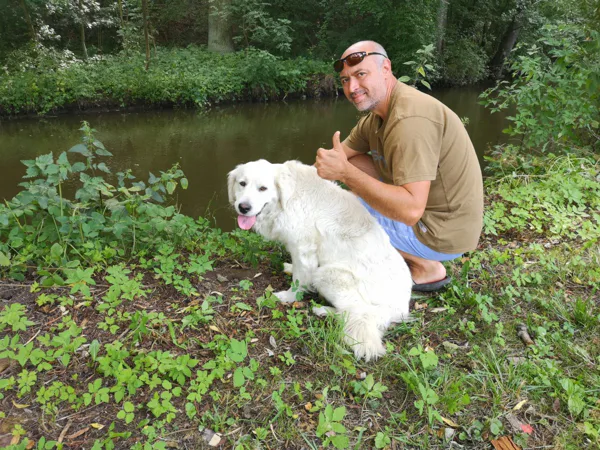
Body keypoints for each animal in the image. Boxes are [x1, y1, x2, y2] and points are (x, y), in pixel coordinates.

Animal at [227, 159, 412, 361]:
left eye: (263, 188)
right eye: (242, 183)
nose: (243, 207)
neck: (287, 198)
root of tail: (401, 308)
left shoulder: (304, 249)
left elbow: (299, 281)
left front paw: (288, 297)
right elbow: (298, 271)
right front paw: (290, 267)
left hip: (329, 275)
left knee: (357, 313)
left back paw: (323, 310)